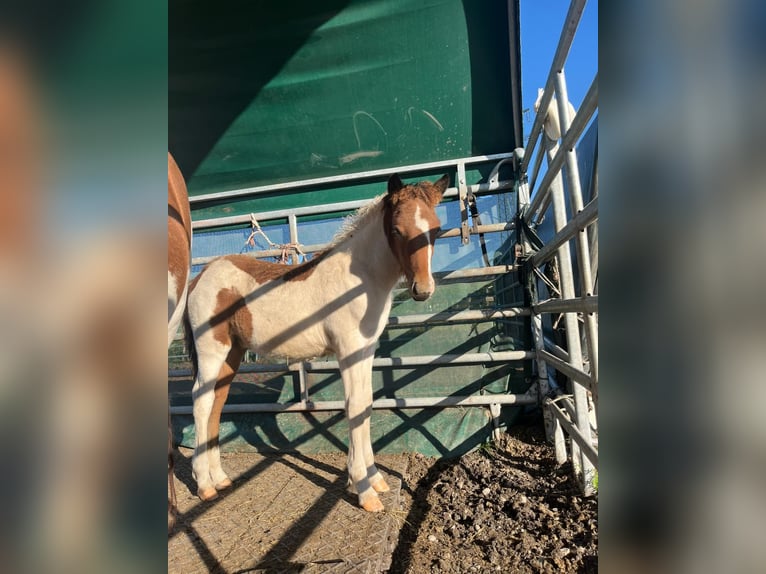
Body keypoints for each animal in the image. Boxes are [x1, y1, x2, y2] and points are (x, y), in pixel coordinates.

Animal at [184, 173, 448, 512]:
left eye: (436, 228)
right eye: (396, 230)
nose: (423, 290)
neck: (360, 277)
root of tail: (200, 276)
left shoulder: (365, 351)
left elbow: (365, 404)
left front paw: (374, 480)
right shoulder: (348, 351)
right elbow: (354, 406)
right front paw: (365, 491)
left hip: (232, 353)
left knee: (217, 403)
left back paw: (219, 478)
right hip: (211, 350)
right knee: (202, 402)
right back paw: (204, 485)